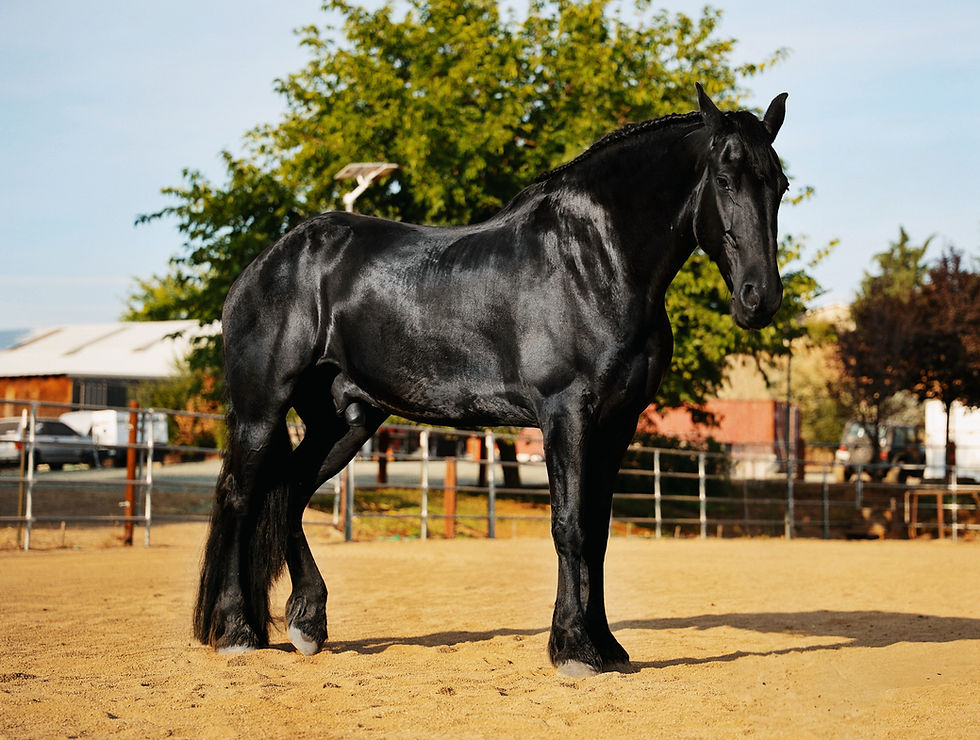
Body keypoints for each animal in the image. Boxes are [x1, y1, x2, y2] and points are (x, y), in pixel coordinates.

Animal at [194, 84, 789, 676]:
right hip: (261, 411)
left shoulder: (617, 423)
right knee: (241, 497)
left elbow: (597, 531)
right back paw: (237, 631)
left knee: (289, 492)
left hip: (345, 421)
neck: (594, 261)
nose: (759, 298)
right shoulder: (566, 414)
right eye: (725, 179)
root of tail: (266, 264)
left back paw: (306, 623)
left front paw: (606, 647)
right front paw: (573, 649)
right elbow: (570, 526)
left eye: (779, 186)